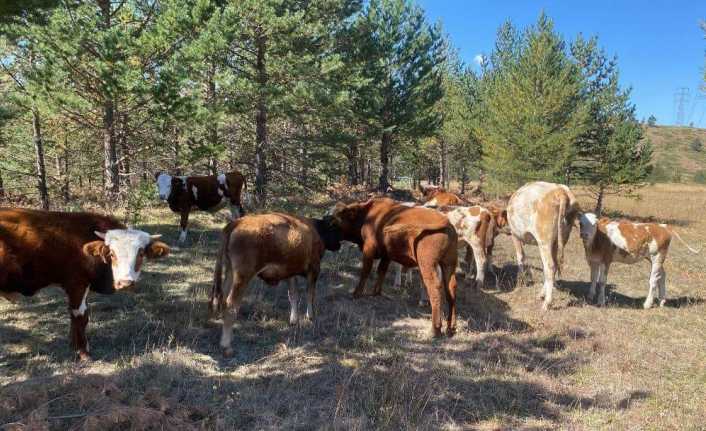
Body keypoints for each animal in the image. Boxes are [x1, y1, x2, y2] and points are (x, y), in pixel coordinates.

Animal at [0, 209, 169, 362]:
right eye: (112, 253)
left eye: (140, 253)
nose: (125, 283)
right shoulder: (77, 284)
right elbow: (80, 316)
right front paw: (83, 352)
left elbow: (84, 316)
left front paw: (74, 346)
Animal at [504, 182, 580, 310]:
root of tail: (560, 191)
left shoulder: (515, 235)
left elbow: (520, 258)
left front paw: (520, 282)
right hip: (557, 241)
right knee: (554, 265)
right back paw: (542, 295)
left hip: (544, 242)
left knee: (550, 266)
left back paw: (547, 303)